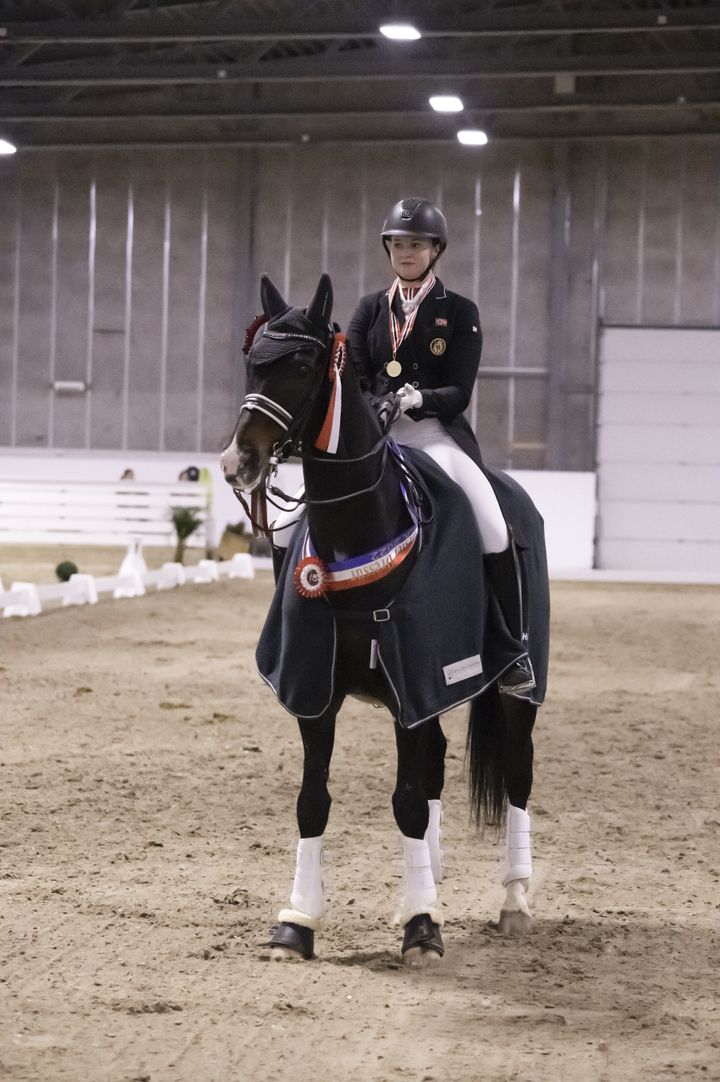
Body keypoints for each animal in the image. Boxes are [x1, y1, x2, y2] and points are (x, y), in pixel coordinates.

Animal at [218, 274, 545, 969]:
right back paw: (431, 882)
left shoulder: (415, 678)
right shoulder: (321, 690)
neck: (362, 533)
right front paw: (298, 922)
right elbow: (313, 801)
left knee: (518, 772)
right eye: (252, 359)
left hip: (513, 690)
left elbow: (406, 802)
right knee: (438, 765)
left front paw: (421, 928)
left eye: (305, 366)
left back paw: (513, 901)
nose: (238, 463)